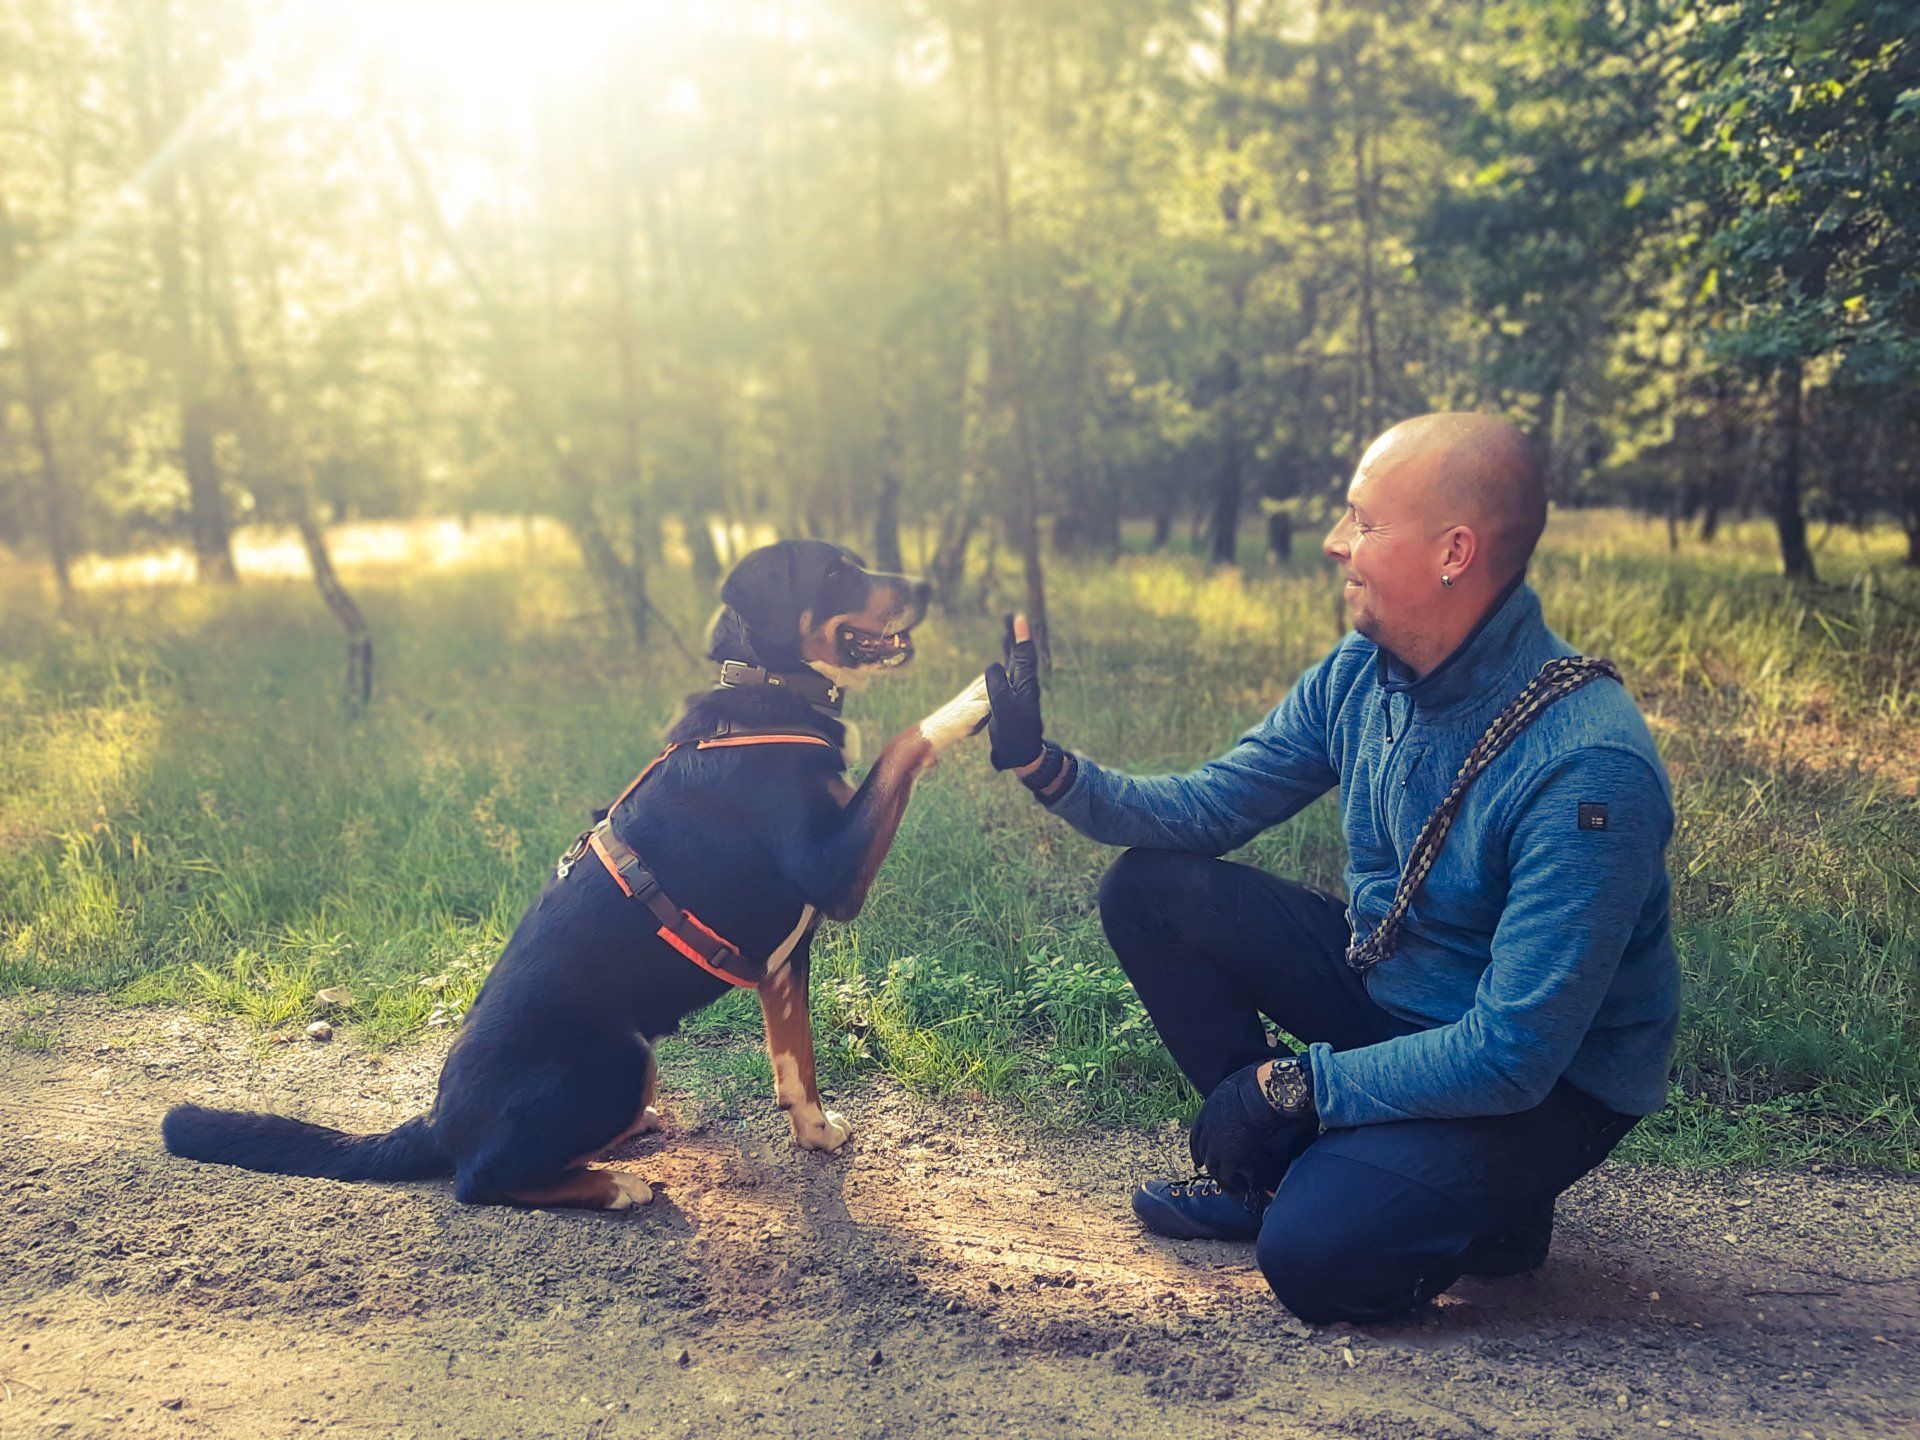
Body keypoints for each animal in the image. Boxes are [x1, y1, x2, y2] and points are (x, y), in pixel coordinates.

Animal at [161, 545, 990, 1213]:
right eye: (836, 571)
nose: (926, 584)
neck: (769, 696)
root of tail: (437, 1121)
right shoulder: (835, 871)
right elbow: (906, 740)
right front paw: (980, 694)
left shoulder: (788, 960)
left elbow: (798, 1066)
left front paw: (816, 1134)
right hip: (622, 1055)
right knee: (480, 1181)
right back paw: (612, 1185)